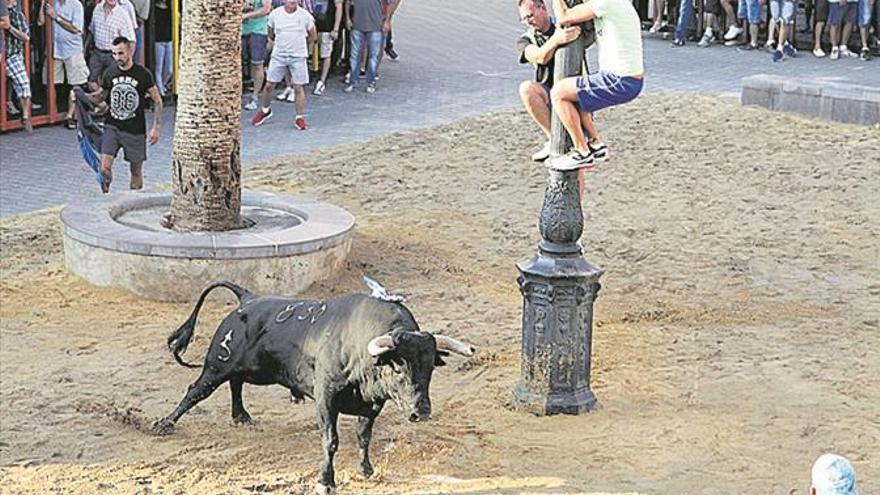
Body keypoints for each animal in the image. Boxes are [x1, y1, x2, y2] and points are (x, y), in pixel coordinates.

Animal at [150, 280, 474, 494]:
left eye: (430, 366)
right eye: (398, 366)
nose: (421, 411)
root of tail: (248, 299)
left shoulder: (372, 404)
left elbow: (363, 437)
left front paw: (365, 470)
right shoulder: (325, 398)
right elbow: (331, 441)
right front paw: (325, 481)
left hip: (254, 371)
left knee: (236, 381)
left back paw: (240, 415)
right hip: (217, 364)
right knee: (196, 390)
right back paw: (165, 423)